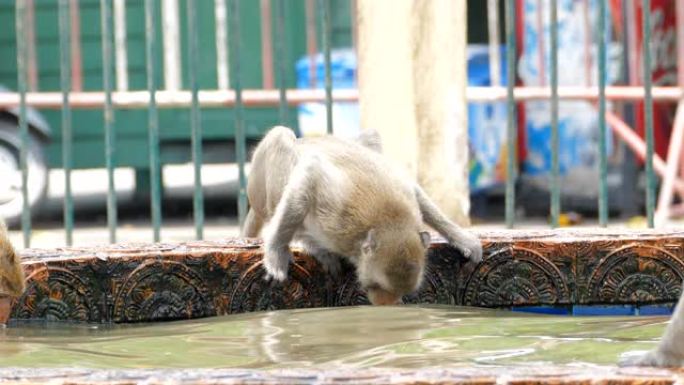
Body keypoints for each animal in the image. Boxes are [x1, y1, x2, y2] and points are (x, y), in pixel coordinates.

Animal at [243, 124, 484, 304]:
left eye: (402, 293)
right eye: (376, 286)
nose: (389, 304)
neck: (389, 221)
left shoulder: (404, 193)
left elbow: (415, 191)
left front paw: (460, 238)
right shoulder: (336, 217)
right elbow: (311, 172)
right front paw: (276, 252)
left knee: (371, 136)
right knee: (281, 137)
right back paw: (305, 242)